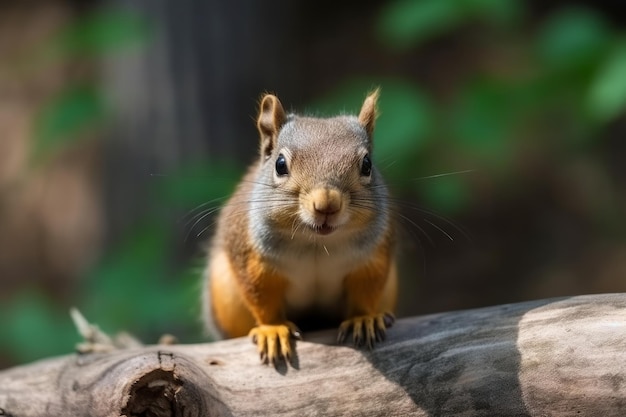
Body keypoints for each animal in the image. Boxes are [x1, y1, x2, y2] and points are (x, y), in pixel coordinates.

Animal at [201, 89, 394, 362]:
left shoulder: (372, 258)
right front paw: (272, 329)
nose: (327, 204)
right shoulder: (253, 260)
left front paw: (364, 319)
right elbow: (262, 298)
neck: (316, 242)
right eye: (280, 164)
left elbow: (367, 291)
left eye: (367, 165)